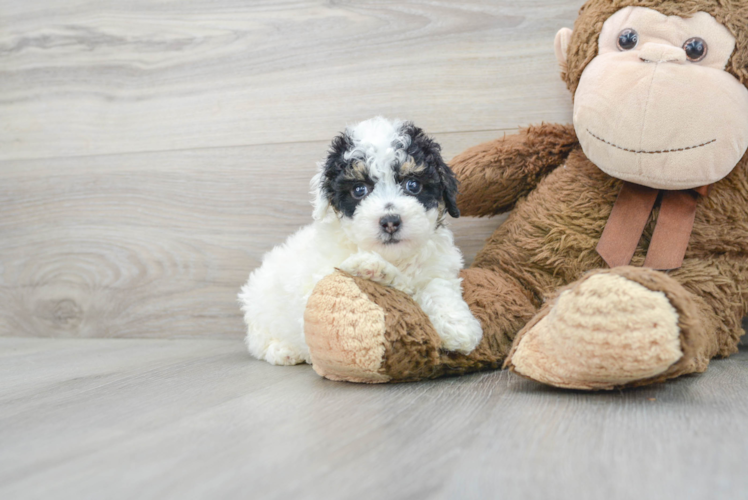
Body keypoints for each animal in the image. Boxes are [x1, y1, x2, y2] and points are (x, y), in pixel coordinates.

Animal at [241, 117, 486, 368]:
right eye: (359, 190)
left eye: (413, 185)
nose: (390, 222)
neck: (393, 256)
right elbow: (399, 286)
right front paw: (375, 269)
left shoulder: (437, 267)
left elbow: (439, 287)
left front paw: (458, 327)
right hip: (261, 315)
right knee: (259, 343)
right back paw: (283, 351)